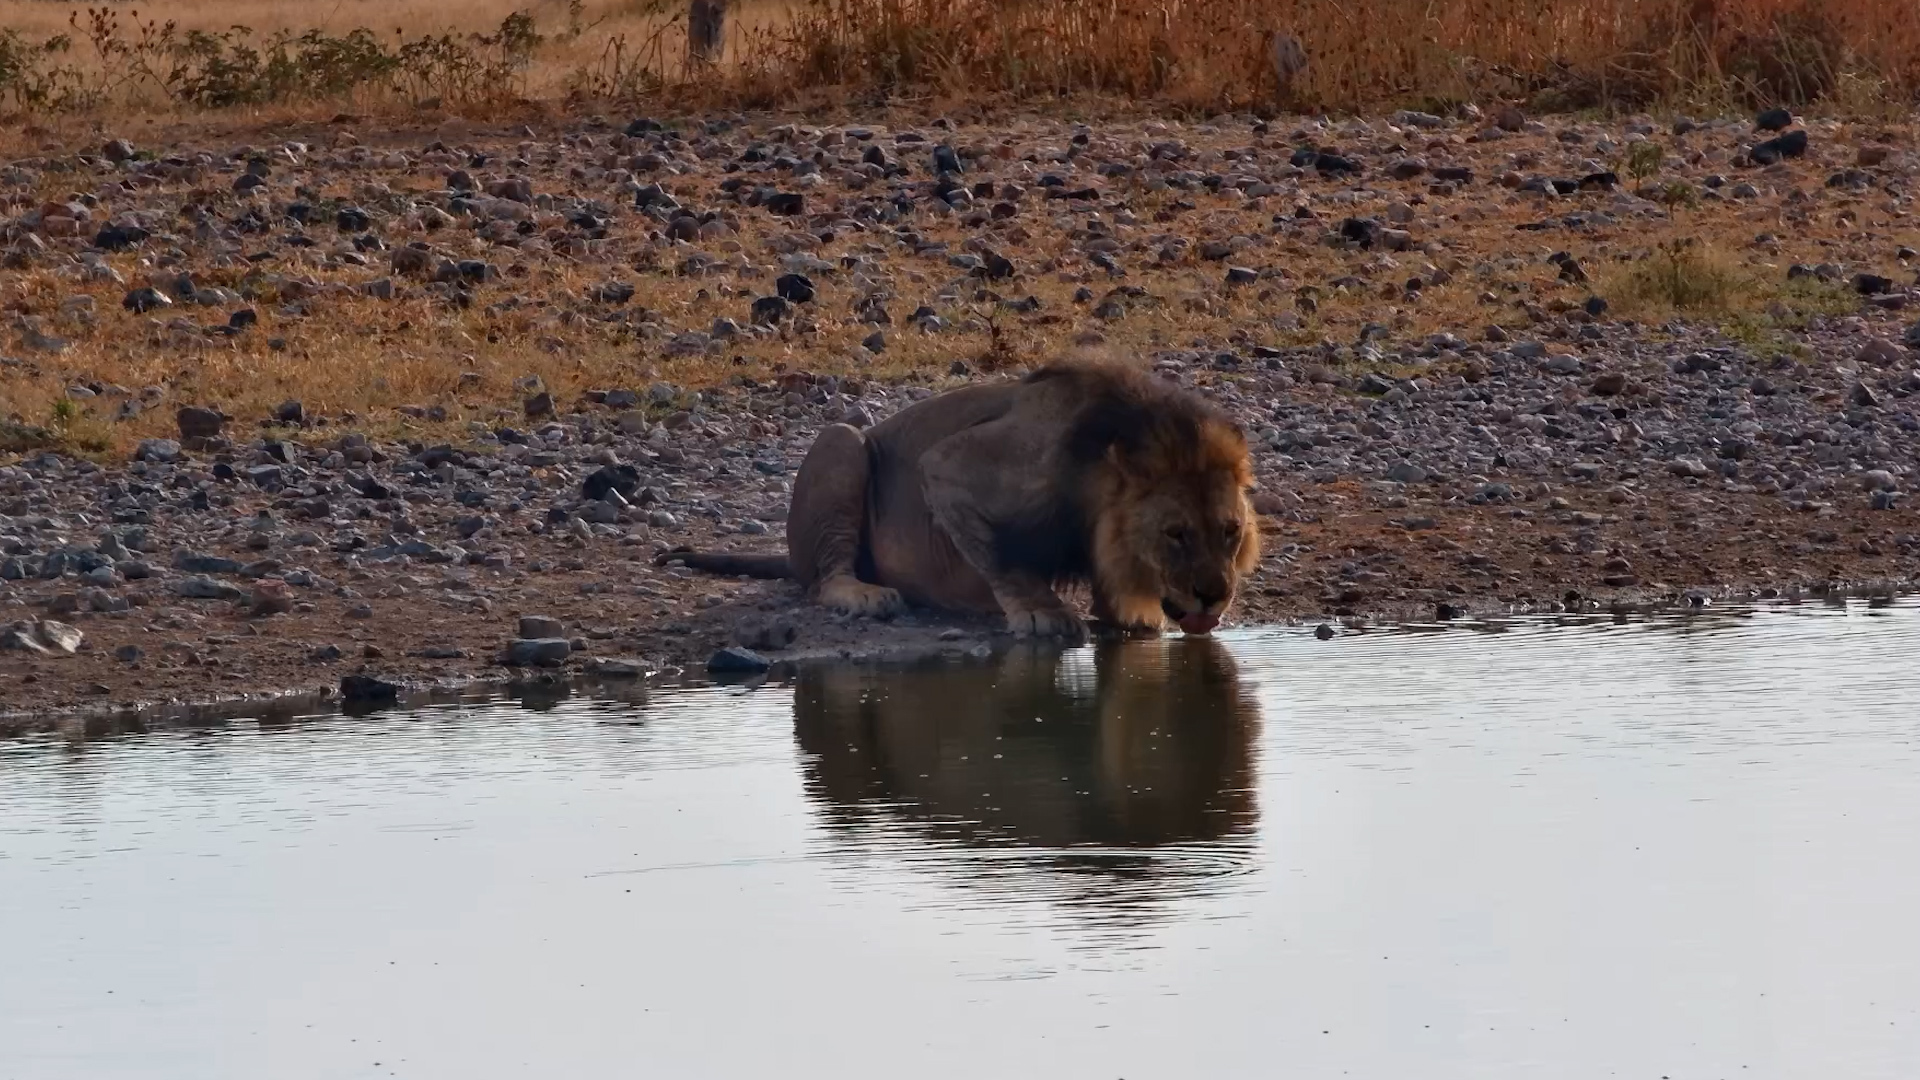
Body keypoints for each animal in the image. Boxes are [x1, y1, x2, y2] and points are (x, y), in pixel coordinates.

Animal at [659, 355, 1261, 642]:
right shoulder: (958, 466)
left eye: (1230, 532)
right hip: (841, 442)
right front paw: (1044, 614)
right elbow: (1006, 558)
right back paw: (866, 595)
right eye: (1176, 534)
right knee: (825, 578)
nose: (1214, 596)